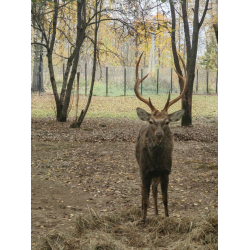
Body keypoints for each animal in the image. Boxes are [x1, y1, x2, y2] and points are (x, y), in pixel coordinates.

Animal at [134, 51, 187, 220]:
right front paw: (143, 219)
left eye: (167, 122)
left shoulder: (165, 172)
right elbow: (145, 200)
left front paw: (166, 217)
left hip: (156, 176)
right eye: (151, 121)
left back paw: (157, 213)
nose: (158, 135)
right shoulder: (144, 171)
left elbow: (165, 199)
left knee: (155, 190)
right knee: (144, 192)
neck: (156, 162)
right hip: (141, 168)